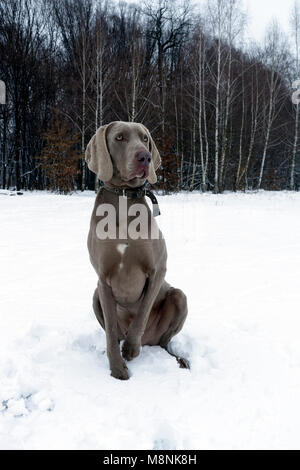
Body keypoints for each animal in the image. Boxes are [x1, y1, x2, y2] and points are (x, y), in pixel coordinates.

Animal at [85, 121, 188, 378]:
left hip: (179, 298)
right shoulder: (103, 278)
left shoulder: (158, 270)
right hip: (95, 295)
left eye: (144, 138)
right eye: (120, 137)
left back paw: (177, 359)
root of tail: (150, 343)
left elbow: (141, 313)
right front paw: (117, 369)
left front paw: (131, 349)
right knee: (114, 333)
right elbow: (111, 331)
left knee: (165, 342)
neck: (124, 198)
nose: (145, 157)